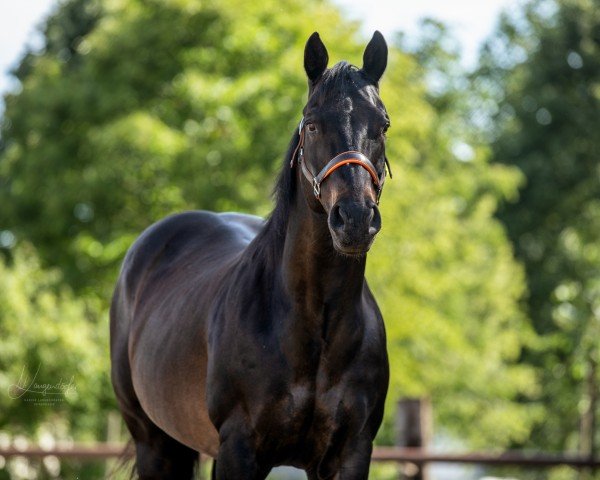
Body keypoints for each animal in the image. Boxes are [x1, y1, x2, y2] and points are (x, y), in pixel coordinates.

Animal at [110, 31, 392, 480]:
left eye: (382, 125)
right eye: (311, 123)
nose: (355, 219)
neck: (314, 325)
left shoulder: (350, 453)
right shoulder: (239, 449)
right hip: (153, 442)